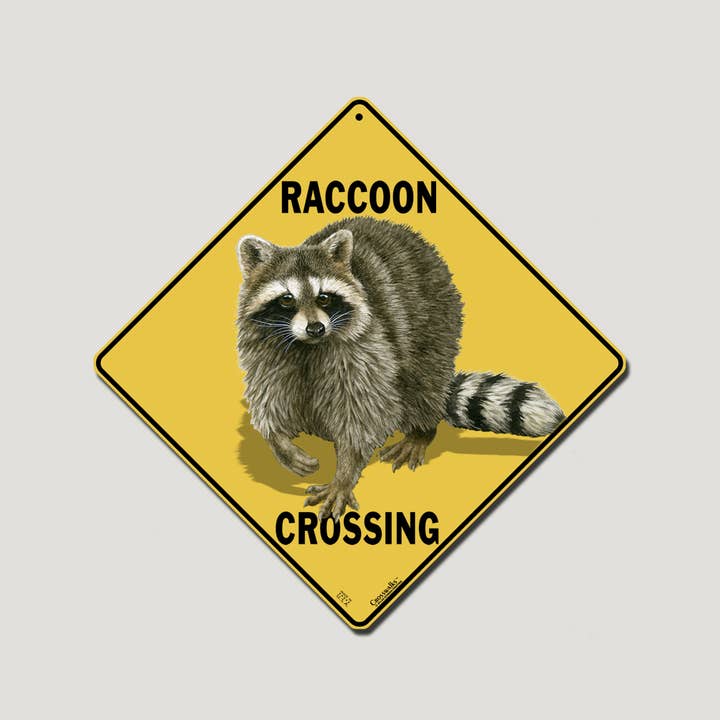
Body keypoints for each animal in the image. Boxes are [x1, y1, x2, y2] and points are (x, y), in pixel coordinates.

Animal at [236, 218, 564, 519]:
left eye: (324, 297)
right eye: (286, 299)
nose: (316, 328)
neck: (305, 347)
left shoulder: (366, 348)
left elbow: (365, 413)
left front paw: (345, 473)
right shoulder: (267, 354)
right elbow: (270, 398)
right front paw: (278, 441)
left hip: (436, 319)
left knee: (422, 377)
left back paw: (422, 430)